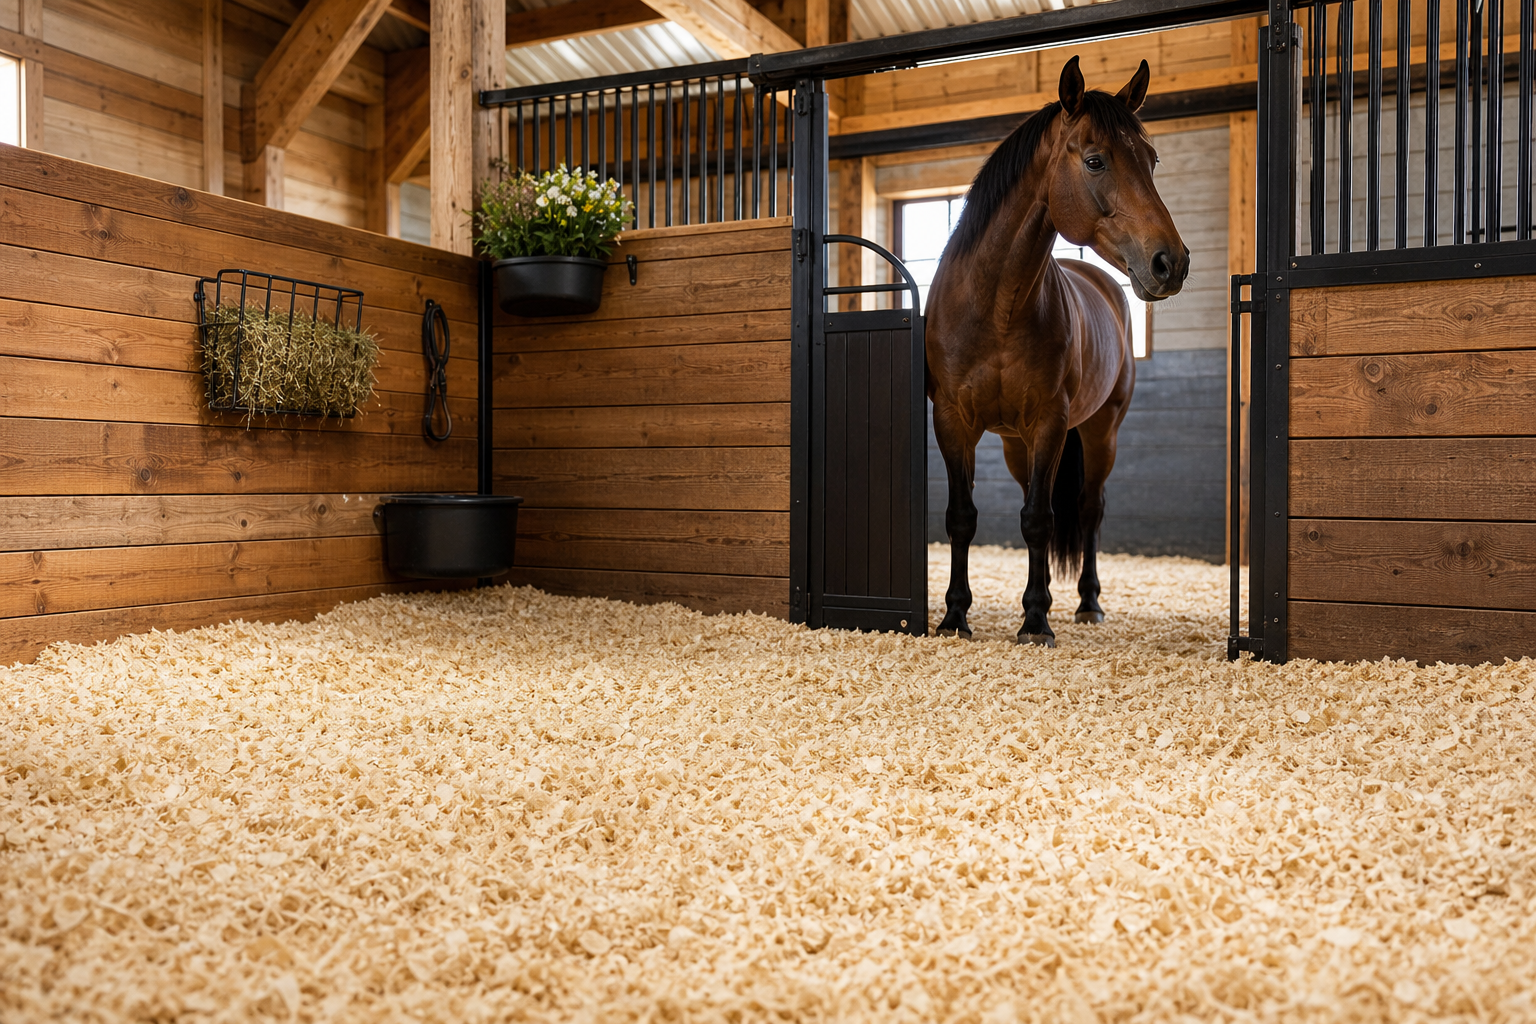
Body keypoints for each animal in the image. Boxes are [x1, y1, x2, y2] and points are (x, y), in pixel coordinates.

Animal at [925, 56, 1189, 647]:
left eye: (1152, 160)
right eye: (1094, 160)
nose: (1172, 263)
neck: (996, 307)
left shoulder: (1050, 421)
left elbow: (1039, 520)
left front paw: (1035, 621)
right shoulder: (954, 421)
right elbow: (962, 516)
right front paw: (955, 618)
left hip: (1098, 431)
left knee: (1087, 510)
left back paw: (1086, 603)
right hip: (1016, 443)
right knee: (1037, 500)